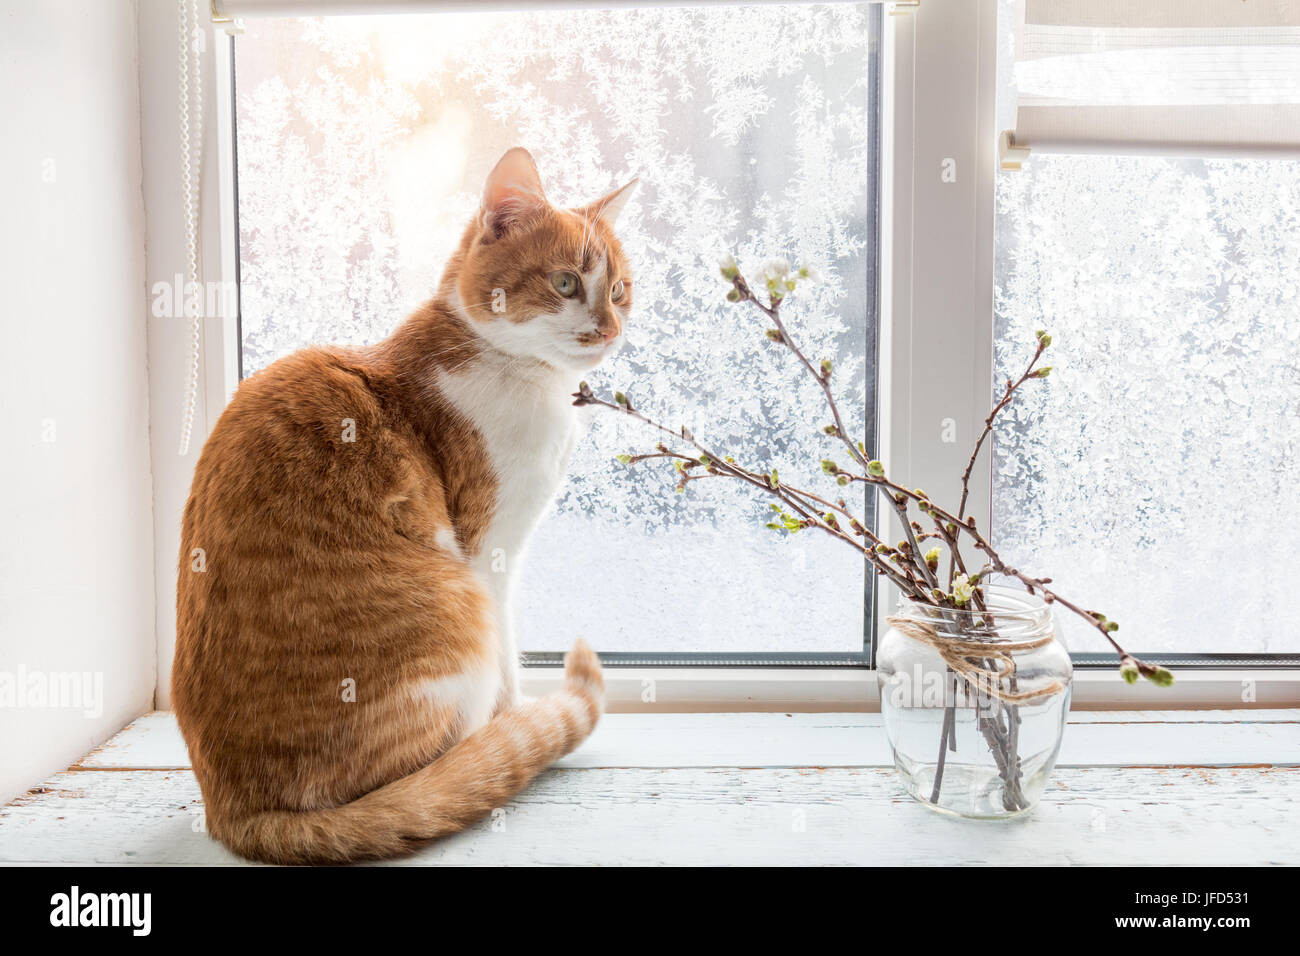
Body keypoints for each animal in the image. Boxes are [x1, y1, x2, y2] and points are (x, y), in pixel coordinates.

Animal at [174, 149, 634, 868]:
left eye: (618, 292)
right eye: (565, 283)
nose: (609, 330)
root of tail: (234, 810)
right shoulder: (490, 552)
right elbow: (509, 659)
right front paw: (517, 718)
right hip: (458, 615)